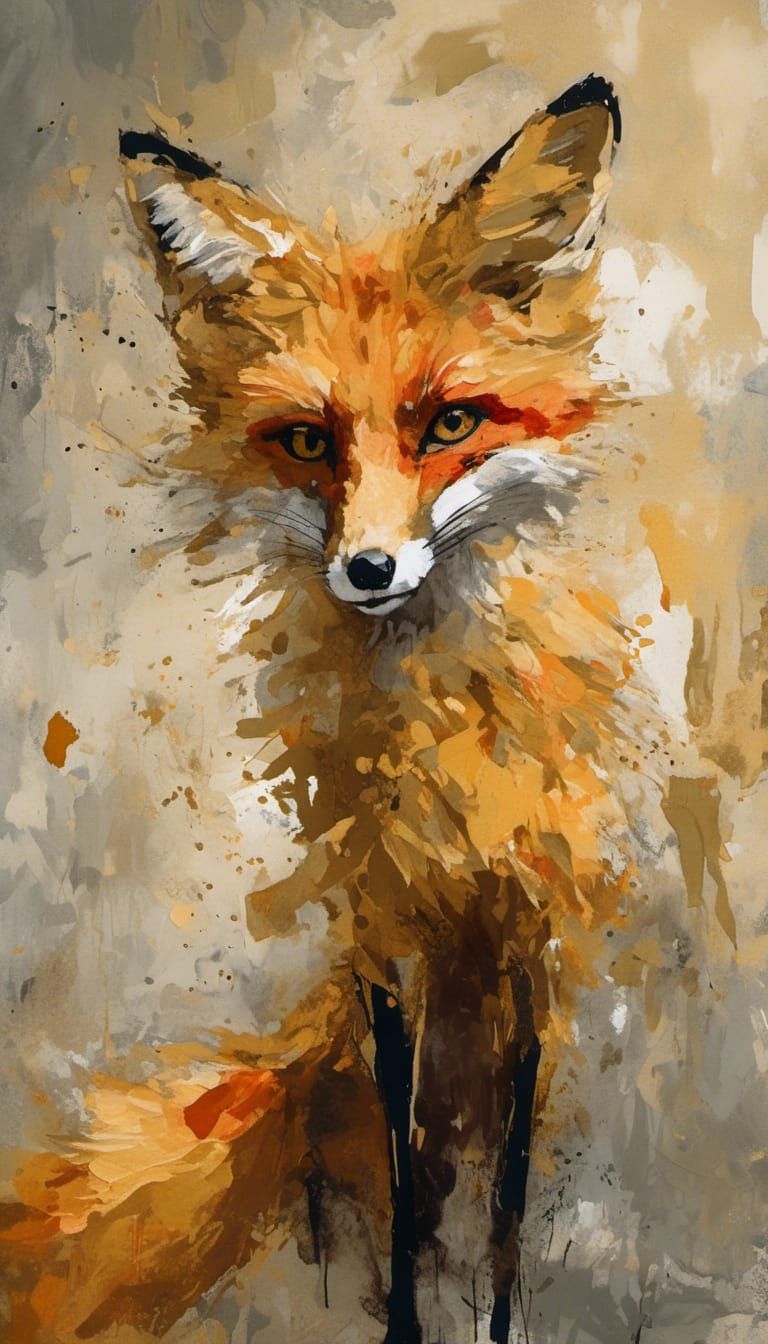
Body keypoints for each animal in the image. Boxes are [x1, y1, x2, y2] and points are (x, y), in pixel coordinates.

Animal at [1, 75, 659, 1343]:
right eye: (308, 441)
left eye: (449, 423)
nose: (368, 569)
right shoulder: (381, 950)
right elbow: (409, 1205)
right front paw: (407, 1322)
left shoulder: (531, 955)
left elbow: (505, 1221)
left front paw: (495, 1322)